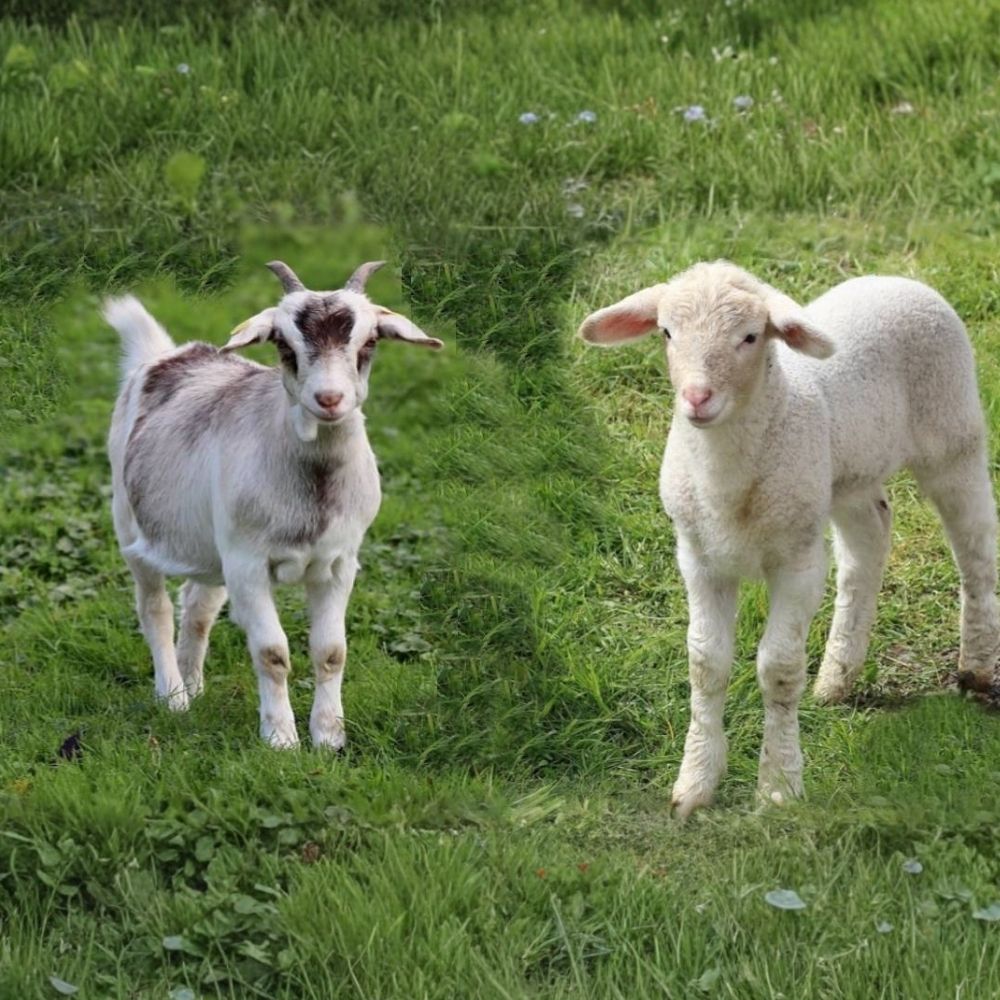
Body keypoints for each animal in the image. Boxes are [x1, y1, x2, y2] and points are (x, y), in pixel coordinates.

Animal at [105, 260, 442, 748]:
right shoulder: (248, 563)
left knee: (199, 607)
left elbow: (331, 652)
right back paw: (173, 696)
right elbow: (272, 652)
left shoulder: (339, 563)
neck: (313, 488)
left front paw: (329, 737)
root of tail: (164, 355)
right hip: (131, 524)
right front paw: (281, 739)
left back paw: (194, 685)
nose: (329, 399)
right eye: (283, 344)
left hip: (212, 547)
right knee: (155, 608)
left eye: (369, 341)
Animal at [579, 260, 1000, 815]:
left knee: (976, 547)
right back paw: (837, 676)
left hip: (953, 436)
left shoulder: (798, 561)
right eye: (667, 333)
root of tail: (897, 278)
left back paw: (976, 668)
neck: (726, 486)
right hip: (842, 476)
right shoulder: (698, 557)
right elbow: (705, 664)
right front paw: (695, 783)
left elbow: (778, 667)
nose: (697, 398)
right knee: (869, 541)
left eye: (750, 337)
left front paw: (778, 785)